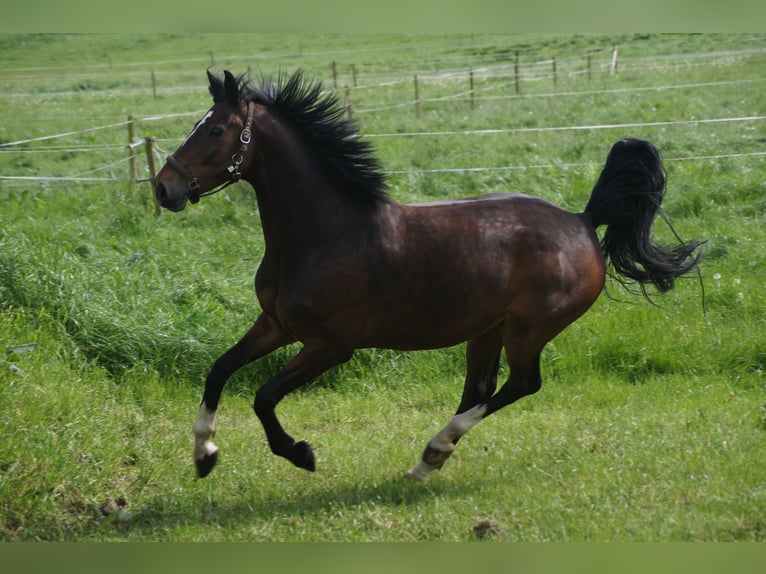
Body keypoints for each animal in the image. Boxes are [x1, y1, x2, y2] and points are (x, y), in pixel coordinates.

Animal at [153, 70, 704, 484]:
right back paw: (428, 461)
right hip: (487, 330)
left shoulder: (331, 346)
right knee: (480, 390)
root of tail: (584, 221)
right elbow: (219, 370)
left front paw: (301, 454)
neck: (323, 234)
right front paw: (204, 455)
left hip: (529, 329)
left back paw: (434, 449)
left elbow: (264, 397)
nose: (164, 187)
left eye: (216, 130)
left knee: (522, 384)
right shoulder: (276, 324)